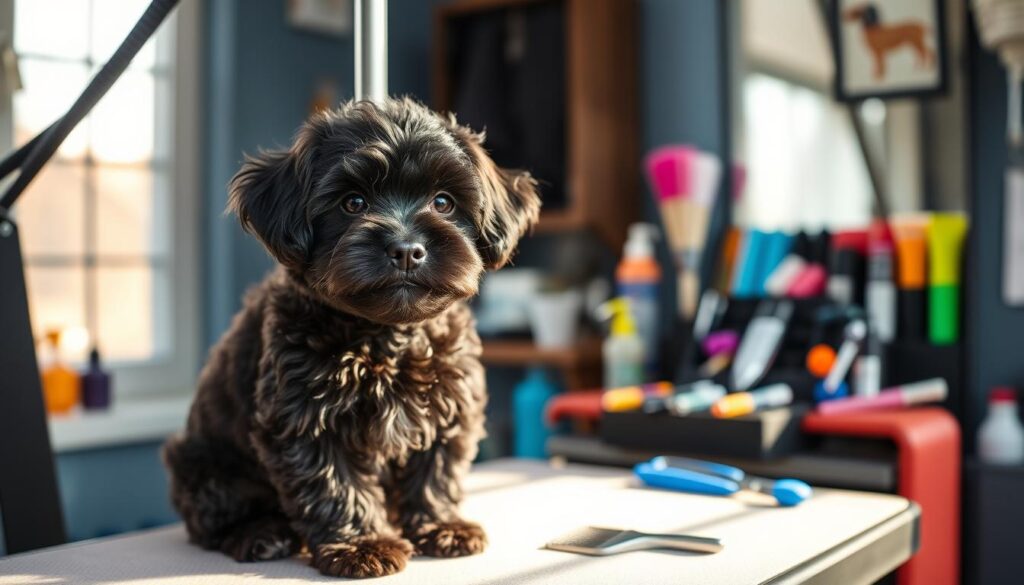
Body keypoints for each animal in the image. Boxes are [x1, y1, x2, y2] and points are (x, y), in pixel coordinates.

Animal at [163, 98, 540, 577]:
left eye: (443, 202)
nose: (406, 250)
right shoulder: (304, 418)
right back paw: (261, 535)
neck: (387, 336)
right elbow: (335, 485)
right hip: (207, 468)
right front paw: (361, 546)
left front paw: (441, 526)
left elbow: (437, 469)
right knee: (214, 522)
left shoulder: (450, 402)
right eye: (353, 202)